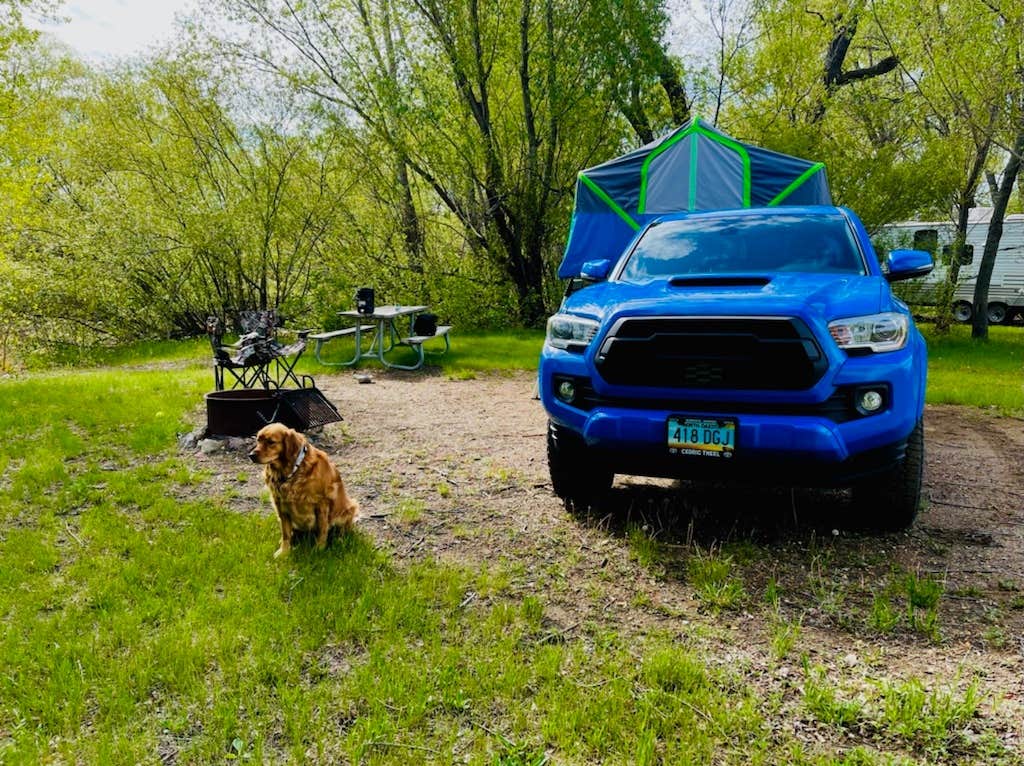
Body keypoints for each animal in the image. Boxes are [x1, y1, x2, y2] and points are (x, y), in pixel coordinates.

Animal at [247, 423, 360, 557]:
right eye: (258, 440)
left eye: (271, 442)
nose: (251, 455)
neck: (291, 472)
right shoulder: (280, 505)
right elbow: (285, 533)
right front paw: (284, 551)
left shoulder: (322, 504)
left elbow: (322, 529)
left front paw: (319, 549)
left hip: (350, 507)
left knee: (343, 529)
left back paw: (341, 540)